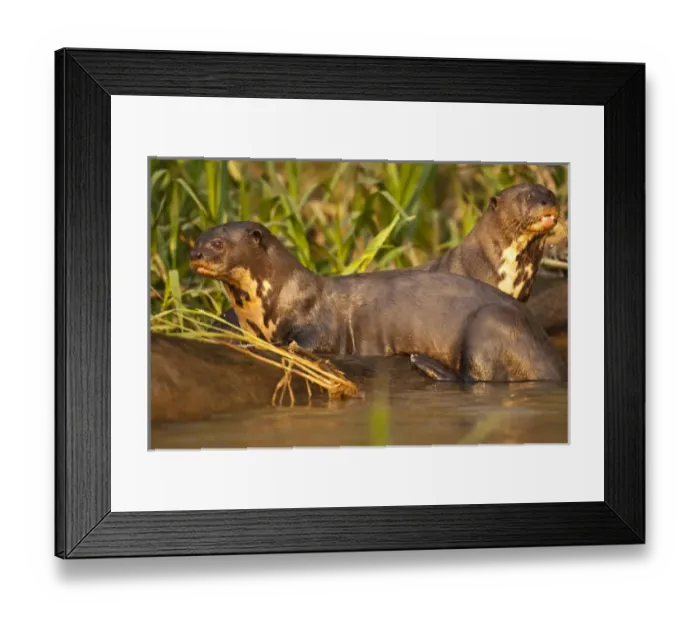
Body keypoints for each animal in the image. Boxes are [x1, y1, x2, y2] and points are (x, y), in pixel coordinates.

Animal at [190, 222, 566, 382]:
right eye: (197, 239)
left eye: (218, 244)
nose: (194, 255)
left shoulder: (318, 326)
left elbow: (305, 343)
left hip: (490, 323)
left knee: (479, 377)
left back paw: (425, 364)